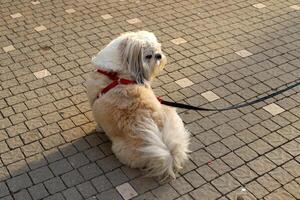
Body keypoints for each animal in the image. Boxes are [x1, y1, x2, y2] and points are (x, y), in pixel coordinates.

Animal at [86, 30, 190, 180]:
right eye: (148, 56)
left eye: (158, 49)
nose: (159, 55)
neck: (116, 73)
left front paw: (98, 129)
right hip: (169, 111)